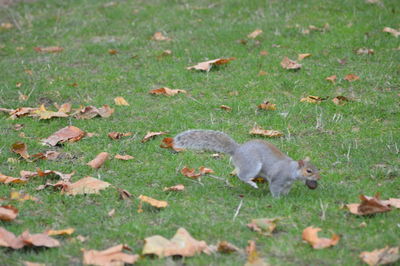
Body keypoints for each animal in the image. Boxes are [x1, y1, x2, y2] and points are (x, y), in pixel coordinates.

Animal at [173, 130, 320, 196]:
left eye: (317, 168)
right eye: (309, 171)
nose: (318, 178)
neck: (292, 170)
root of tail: (238, 150)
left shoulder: (287, 184)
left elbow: (286, 190)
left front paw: (286, 198)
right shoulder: (278, 179)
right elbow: (275, 189)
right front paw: (278, 201)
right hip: (252, 165)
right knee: (242, 175)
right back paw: (252, 183)